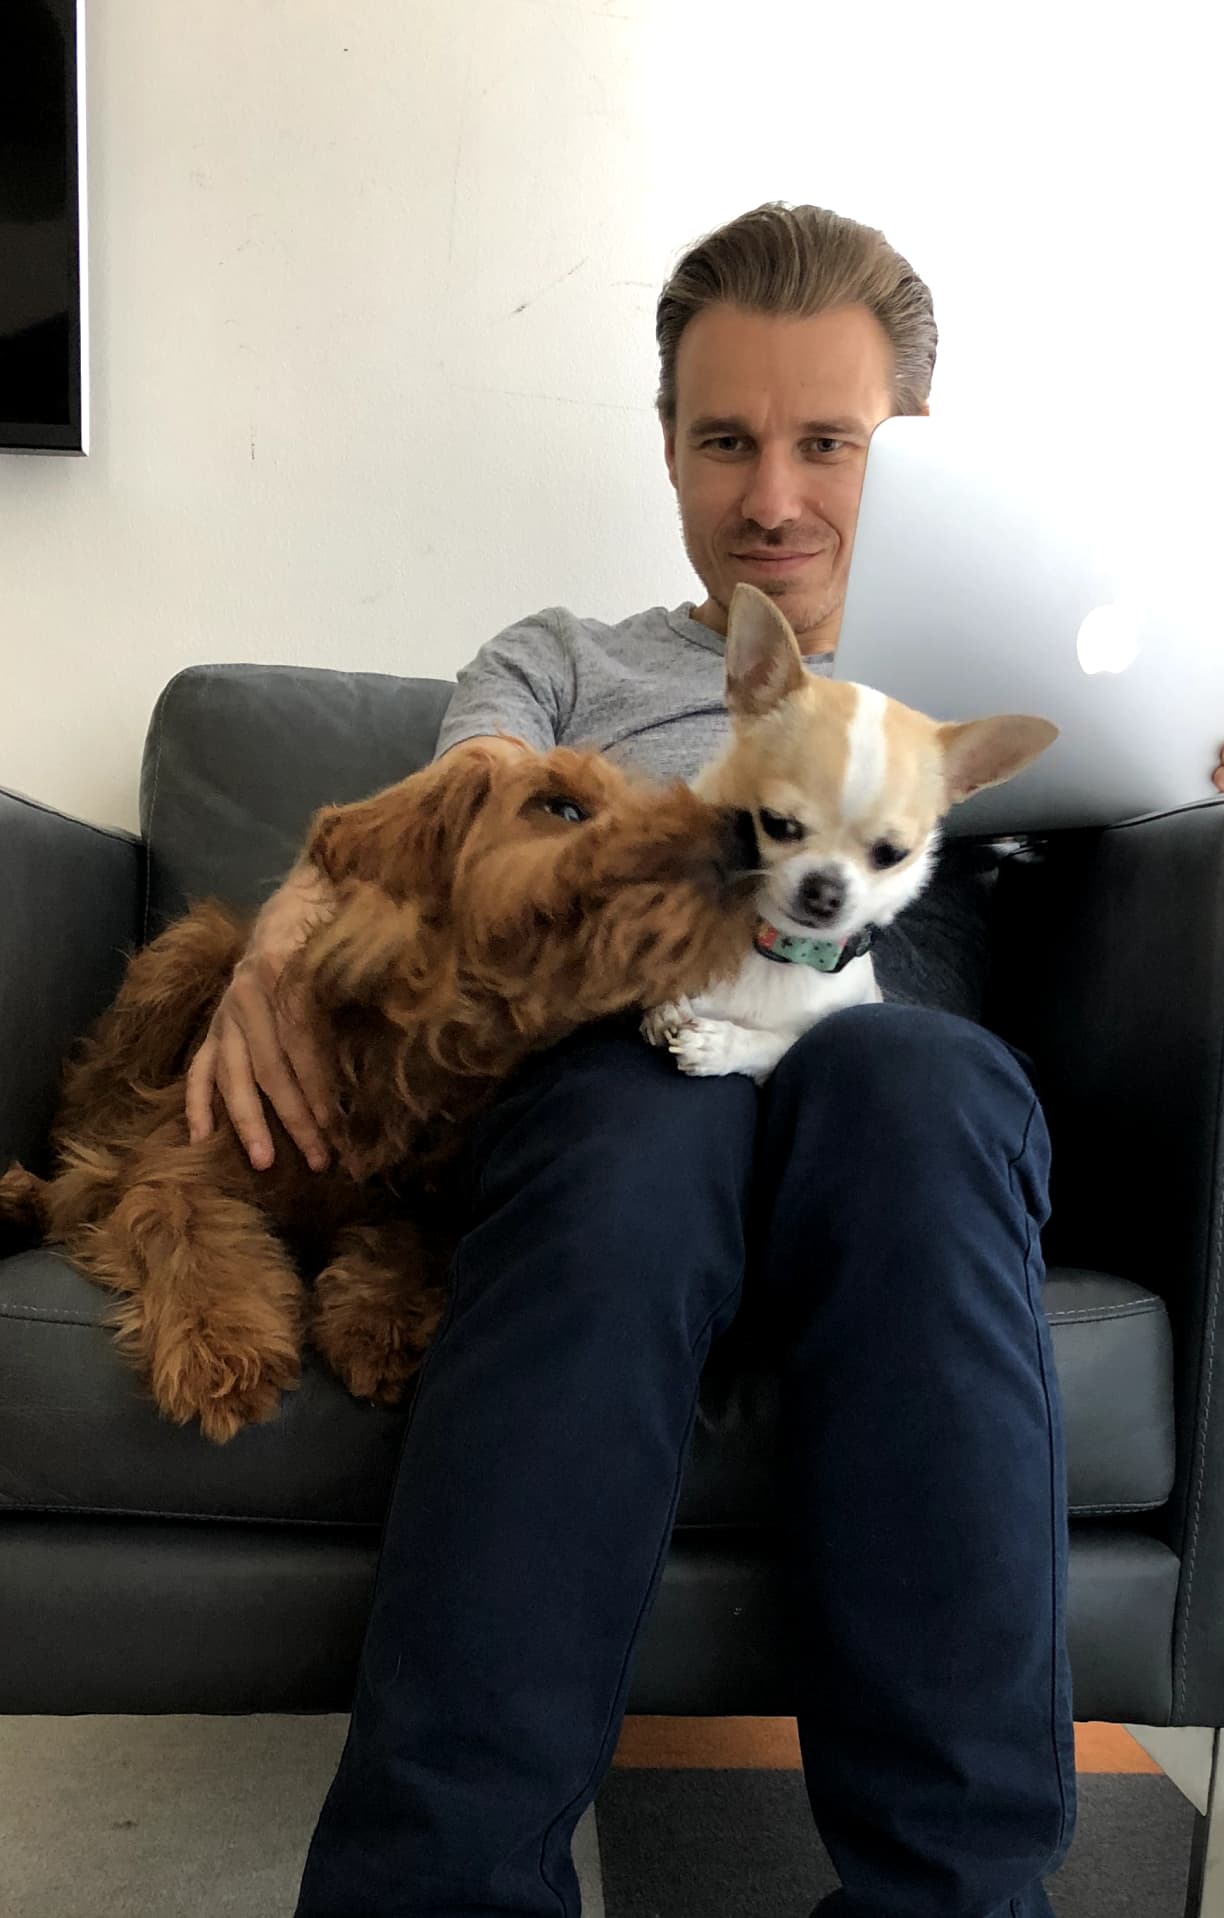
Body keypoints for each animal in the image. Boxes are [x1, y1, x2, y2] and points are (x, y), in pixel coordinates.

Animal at [0, 748, 763, 1442]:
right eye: (564, 808)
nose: (745, 832)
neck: (421, 1054)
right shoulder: (180, 1158)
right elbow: (183, 1226)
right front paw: (222, 1345)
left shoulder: (436, 1200)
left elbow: (409, 1240)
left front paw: (382, 1324)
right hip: (184, 957)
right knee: (82, 1151)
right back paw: (26, 1193)